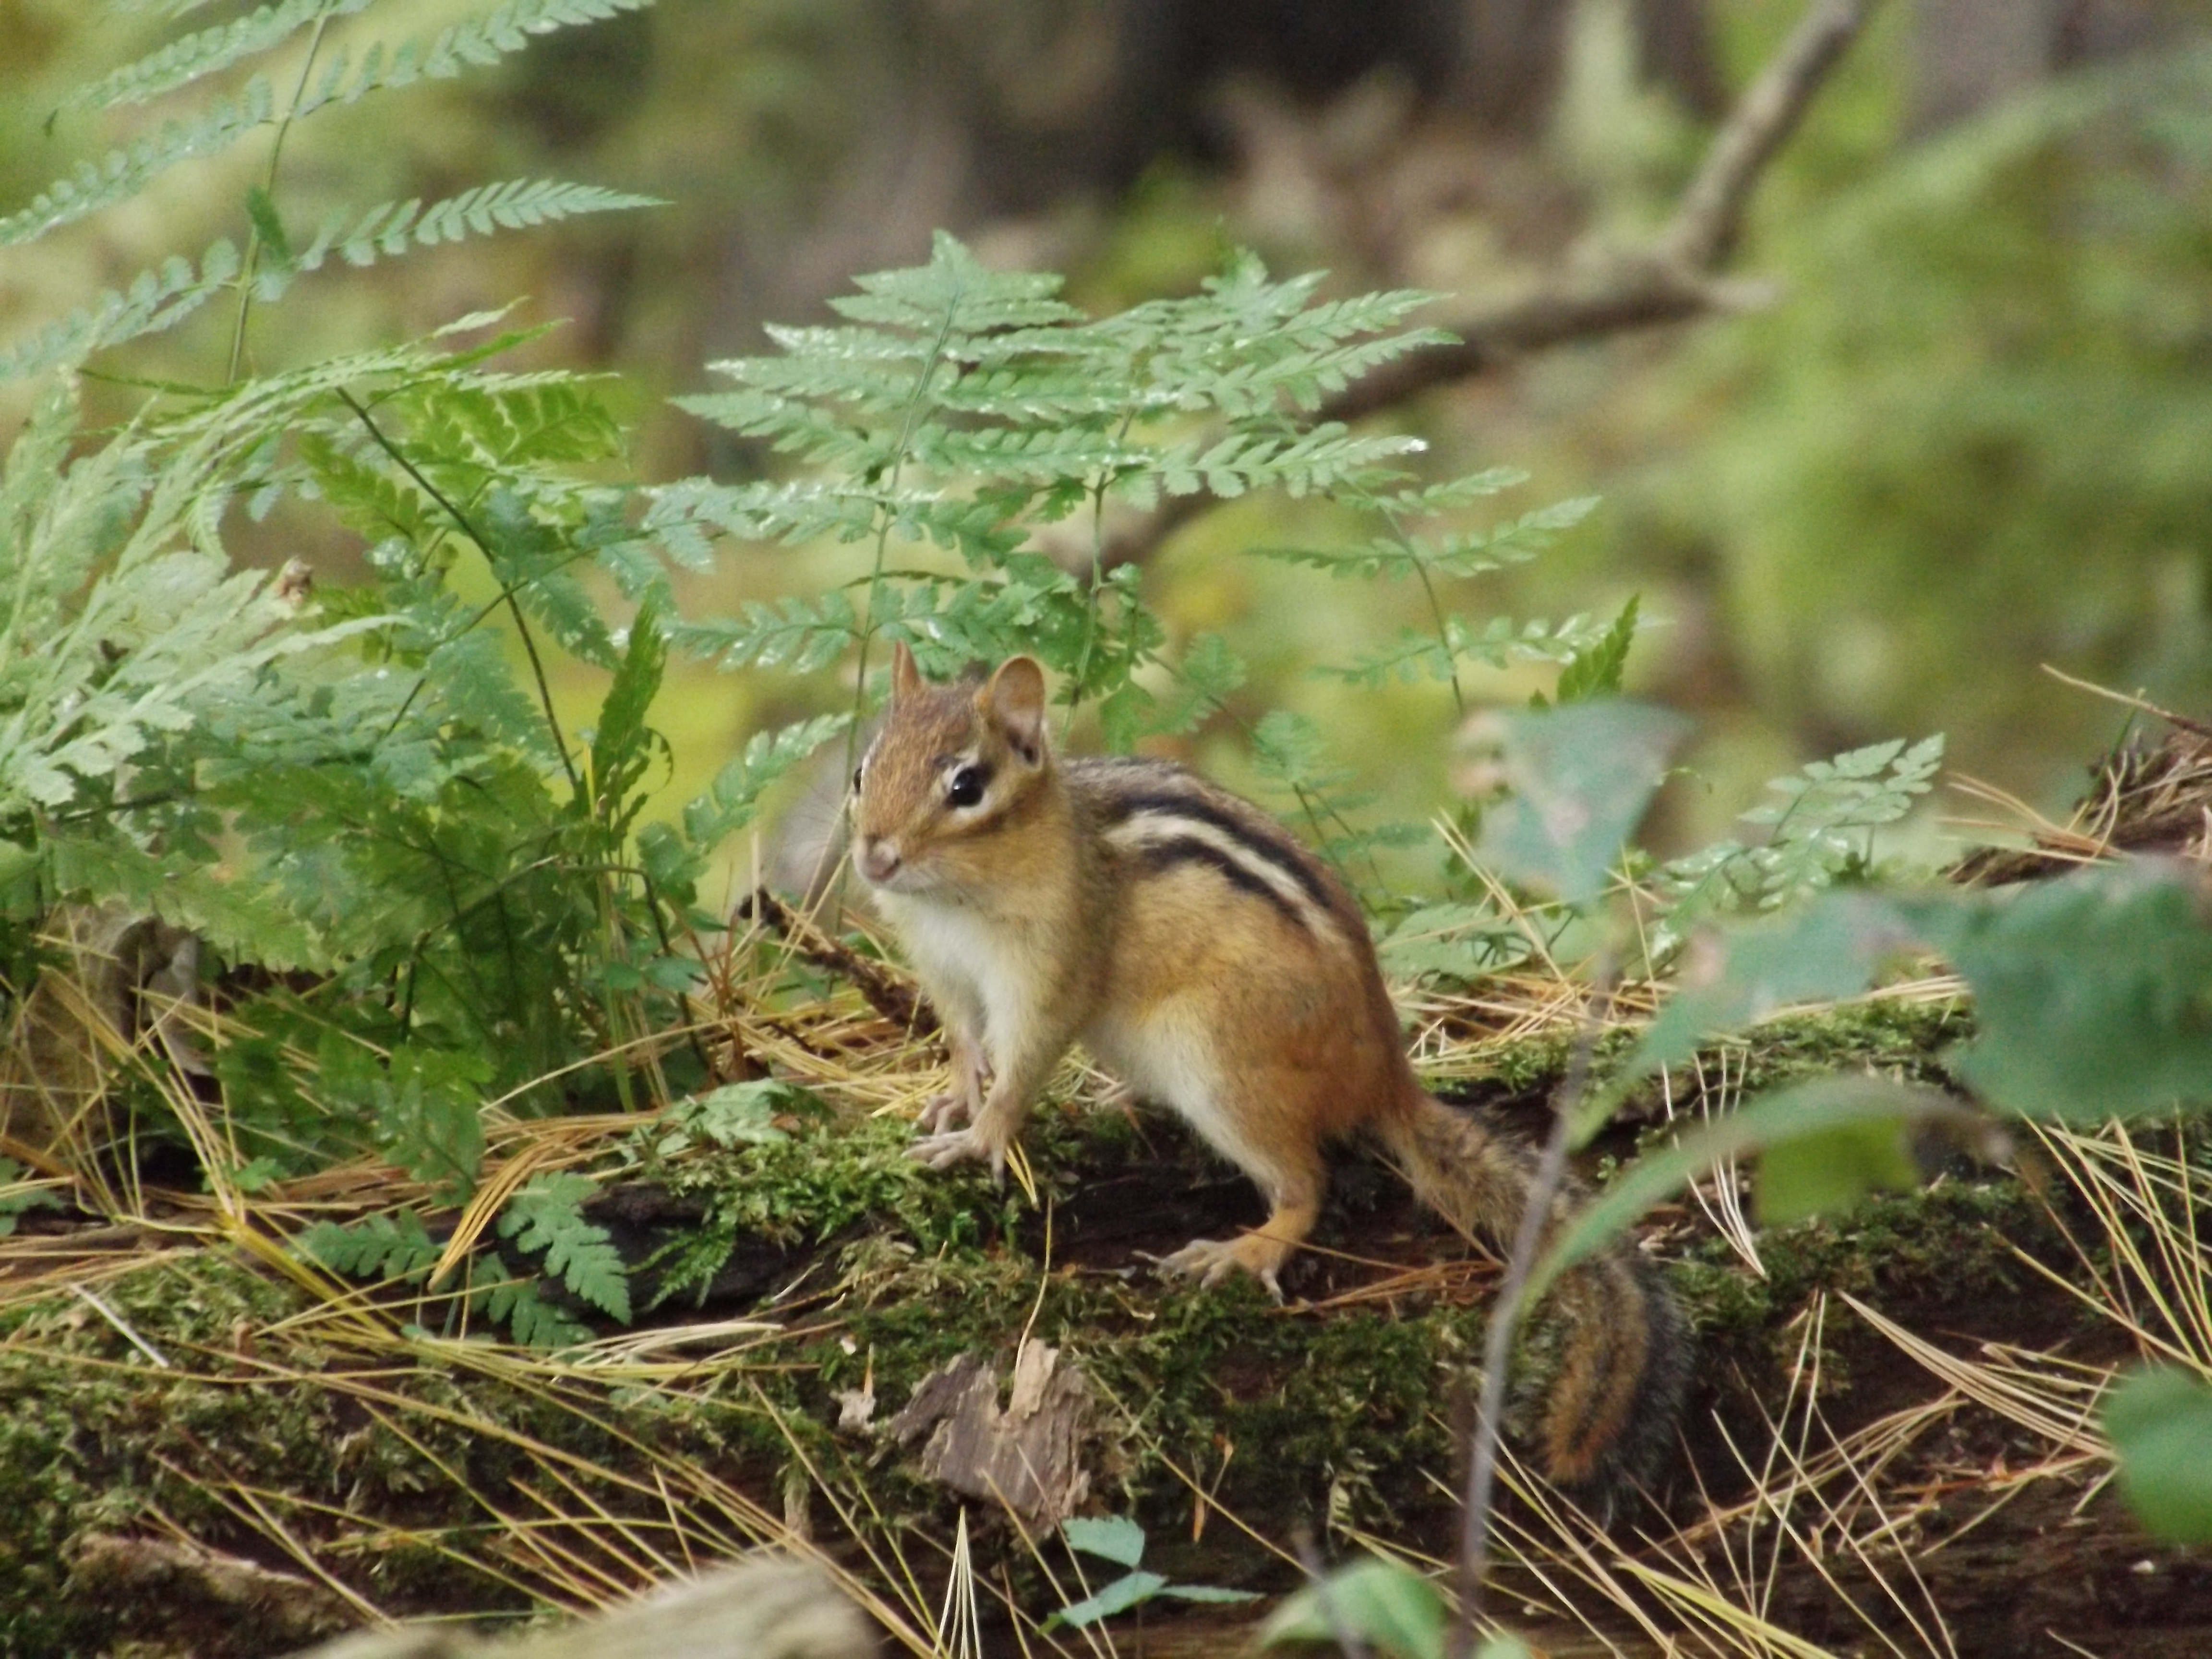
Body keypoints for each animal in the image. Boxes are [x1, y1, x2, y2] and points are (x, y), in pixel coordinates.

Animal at [850, 644, 1688, 1504]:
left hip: (1221, 1070)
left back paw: (1242, 1251)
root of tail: (1386, 1072)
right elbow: (961, 1038)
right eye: (862, 768)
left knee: (1306, 1186)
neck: (959, 898)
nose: (874, 855)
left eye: (967, 787)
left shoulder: (1055, 965)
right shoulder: (940, 965)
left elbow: (1027, 1060)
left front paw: (983, 1135)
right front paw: (955, 1097)